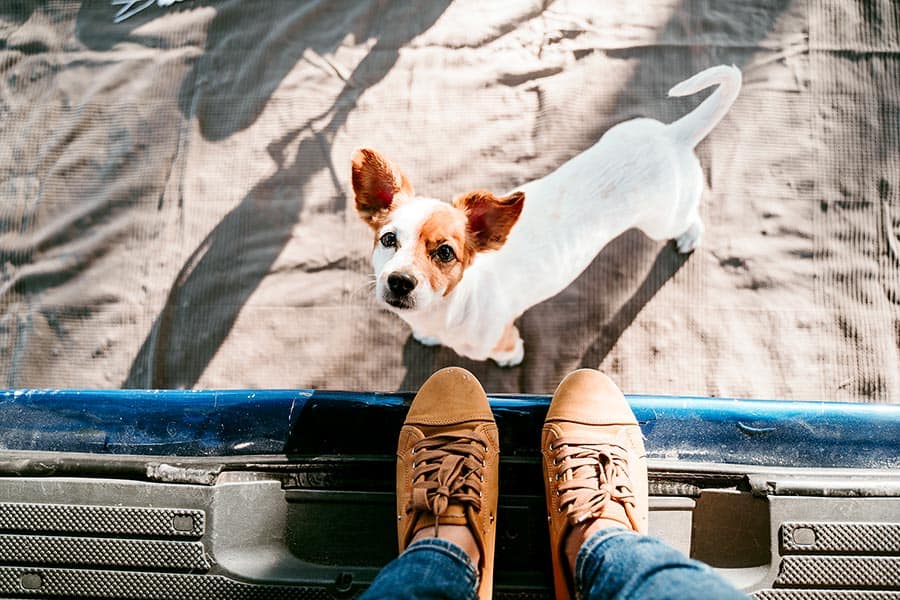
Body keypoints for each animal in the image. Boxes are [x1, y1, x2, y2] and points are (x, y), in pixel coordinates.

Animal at [350, 65, 740, 366]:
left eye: (445, 252)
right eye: (388, 239)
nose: (399, 281)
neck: (448, 307)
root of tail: (672, 136)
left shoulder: (501, 337)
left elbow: (508, 351)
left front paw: (509, 360)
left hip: (663, 220)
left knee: (690, 217)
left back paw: (689, 236)